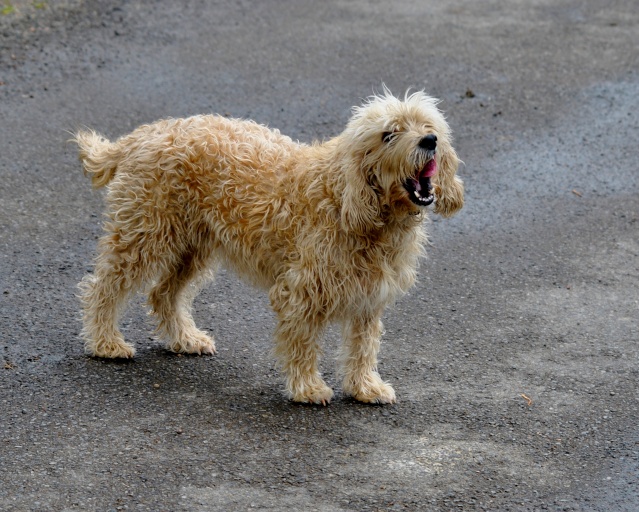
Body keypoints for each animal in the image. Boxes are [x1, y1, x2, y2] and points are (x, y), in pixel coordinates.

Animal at [76, 91, 464, 404]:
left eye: (426, 124)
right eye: (389, 134)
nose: (430, 140)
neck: (344, 196)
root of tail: (140, 135)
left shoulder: (368, 296)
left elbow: (363, 346)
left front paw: (364, 387)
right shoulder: (302, 291)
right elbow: (303, 341)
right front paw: (307, 388)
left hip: (192, 247)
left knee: (163, 293)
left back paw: (184, 339)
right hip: (143, 236)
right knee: (103, 288)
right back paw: (105, 343)